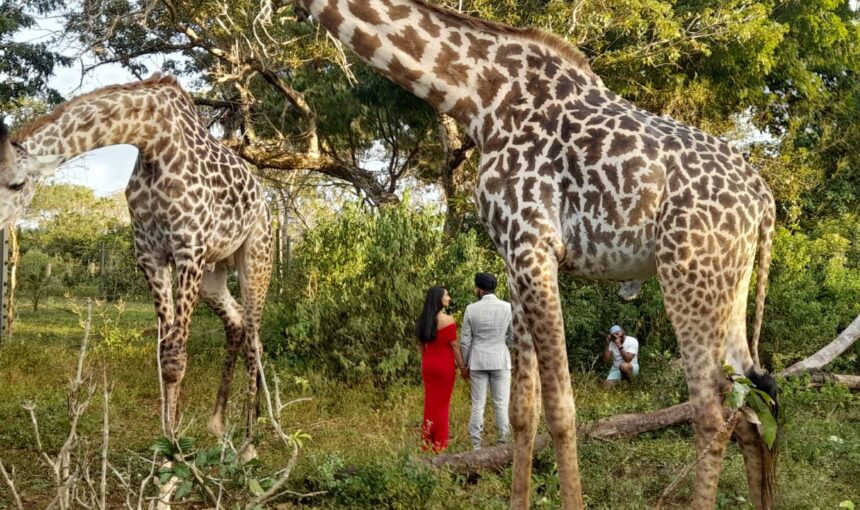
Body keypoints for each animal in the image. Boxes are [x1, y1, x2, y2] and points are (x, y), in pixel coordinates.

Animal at [0, 74, 274, 442]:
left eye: (16, 184)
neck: (154, 142)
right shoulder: (149, 254)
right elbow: (162, 352)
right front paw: (167, 441)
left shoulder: (189, 249)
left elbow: (175, 356)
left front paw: (174, 450)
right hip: (213, 274)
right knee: (237, 324)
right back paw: (218, 424)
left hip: (256, 257)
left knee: (255, 338)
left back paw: (250, 439)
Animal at [286, 1, 784, 508]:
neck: (478, 98)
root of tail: (764, 200)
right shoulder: (513, 254)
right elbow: (523, 409)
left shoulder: (535, 244)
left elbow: (562, 410)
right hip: (728, 283)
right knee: (752, 405)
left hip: (687, 271)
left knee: (711, 413)